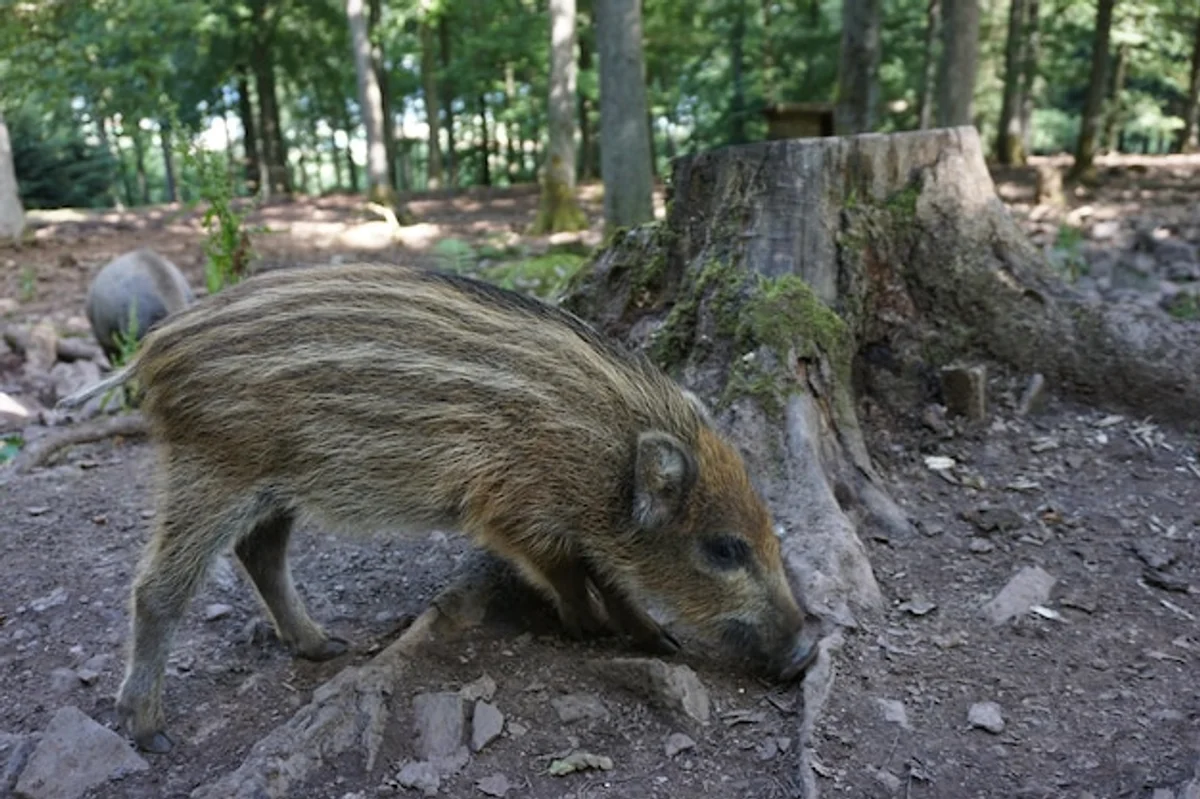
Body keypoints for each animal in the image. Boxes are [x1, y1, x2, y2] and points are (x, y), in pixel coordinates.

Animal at [59, 263, 819, 753]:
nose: (808, 649)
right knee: (158, 587)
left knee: (260, 552)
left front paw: (652, 636)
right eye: (724, 548)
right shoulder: (509, 506)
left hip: (275, 484)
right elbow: (573, 568)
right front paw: (591, 628)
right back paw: (149, 729)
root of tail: (149, 352)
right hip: (212, 469)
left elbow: (606, 570)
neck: (603, 453)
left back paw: (323, 646)